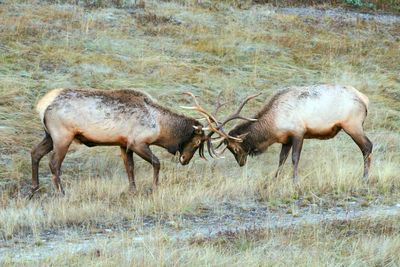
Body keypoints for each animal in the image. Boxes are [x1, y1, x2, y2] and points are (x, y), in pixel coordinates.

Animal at [30, 89, 206, 196]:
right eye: (197, 142)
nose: (185, 160)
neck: (160, 126)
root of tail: (42, 105)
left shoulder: (124, 144)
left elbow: (130, 168)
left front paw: (133, 191)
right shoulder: (137, 142)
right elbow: (156, 163)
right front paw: (154, 188)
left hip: (49, 136)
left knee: (35, 153)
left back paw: (34, 189)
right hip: (62, 136)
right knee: (54, 163)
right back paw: (61, 193)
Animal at [189, 85, 374, 183]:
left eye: (234, 148)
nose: (241, 163)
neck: (273, 125)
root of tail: (365, 99)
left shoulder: (299, 132)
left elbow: (294, 158)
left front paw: (295, 180)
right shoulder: (286, 139)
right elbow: (281, 159)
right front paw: (274, 178)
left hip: (352, 125)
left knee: (367, 146)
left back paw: (365, 178)